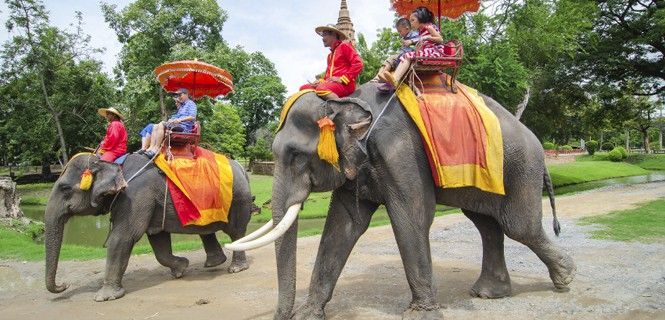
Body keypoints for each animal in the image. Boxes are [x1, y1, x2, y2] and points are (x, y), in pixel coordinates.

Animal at [44, 152, 255, 300]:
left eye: (64, 188)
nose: (64, 285)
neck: (112, 163)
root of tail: (241, 168)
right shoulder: (150, 202)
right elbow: (158, 240)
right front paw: (181, 268)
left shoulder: (135, 195)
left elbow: (123, 237)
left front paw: (104, 298)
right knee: (207, 231)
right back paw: (213, 263)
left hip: (238, 199)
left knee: (236, 232)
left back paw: (236, 268)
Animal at [224, 84, 576, 318]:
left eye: (296, 155)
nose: (285, 315)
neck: (349, 101)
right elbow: (343, 225)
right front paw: (310, 314)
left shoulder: (401, 154)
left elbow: (412, 216)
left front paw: (421, 315)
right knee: (486, 224)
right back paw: (490, 293)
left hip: (521, 168)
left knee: (519, 226)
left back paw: (566, 277)